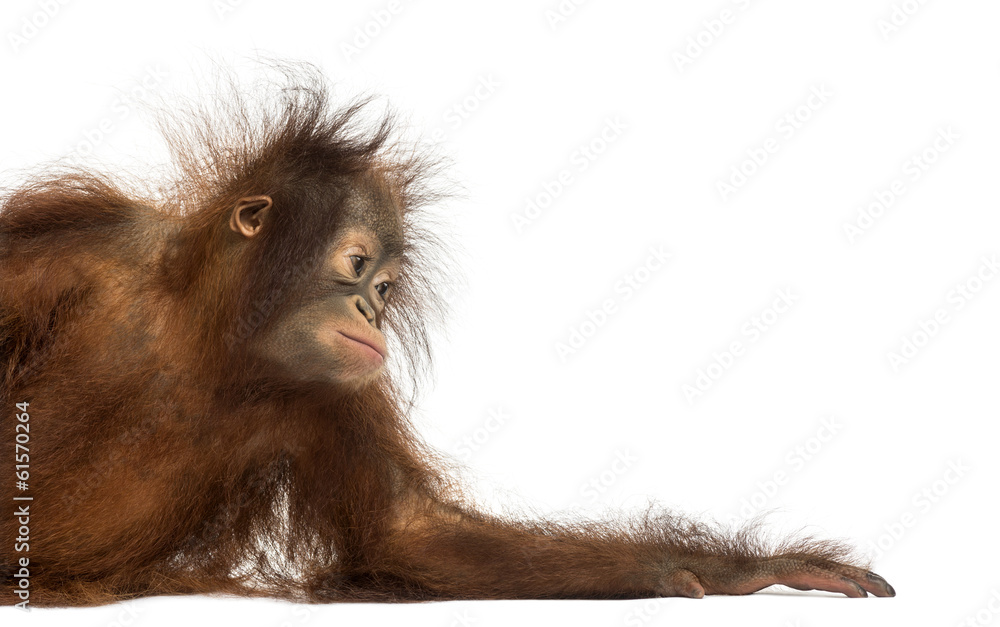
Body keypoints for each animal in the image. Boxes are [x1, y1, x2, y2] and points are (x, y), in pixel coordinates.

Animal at [0, 62, 894, 607]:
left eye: (387, 288)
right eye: (355, 264)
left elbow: (411, 531)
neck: (204, 336)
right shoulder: (75, 247)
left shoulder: (336, 399)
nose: (370, 312)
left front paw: (747, 568)